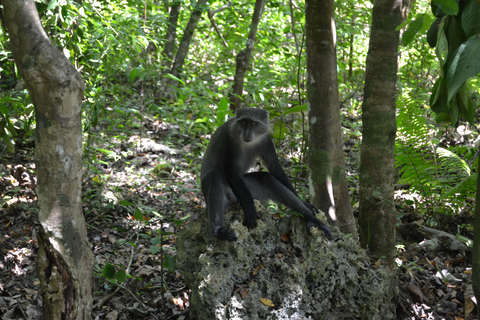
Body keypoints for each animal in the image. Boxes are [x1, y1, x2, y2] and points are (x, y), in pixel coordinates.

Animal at [199, 107, 330, 240]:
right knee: (213, 175)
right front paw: (250, 208)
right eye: (243, 122)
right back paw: (219, 230)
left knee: (266, 178)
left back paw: (310, 218)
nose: (246, 133)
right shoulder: (231, 140)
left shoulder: (266, 140)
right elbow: (232, 173)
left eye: (252, 123)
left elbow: (275, 167)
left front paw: (305, 204)